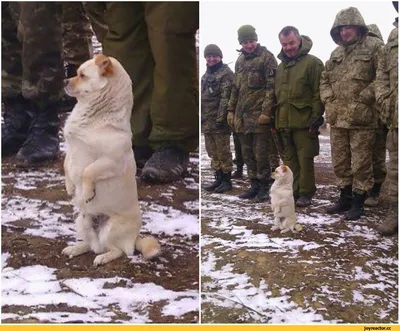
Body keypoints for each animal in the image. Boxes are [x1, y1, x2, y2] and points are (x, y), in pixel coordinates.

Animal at [61, 54, 160, 268]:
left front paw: (87, 192)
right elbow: (66, 166)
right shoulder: (71, 149)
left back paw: (103, 258)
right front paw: (70, 187)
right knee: (92, 245)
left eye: (81, 75)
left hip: (111, 230)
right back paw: (75, 248)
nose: (64, 81)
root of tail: (135, 237)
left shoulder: (109, 162)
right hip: (82, 222)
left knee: (117, 251)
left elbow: (87, 172)